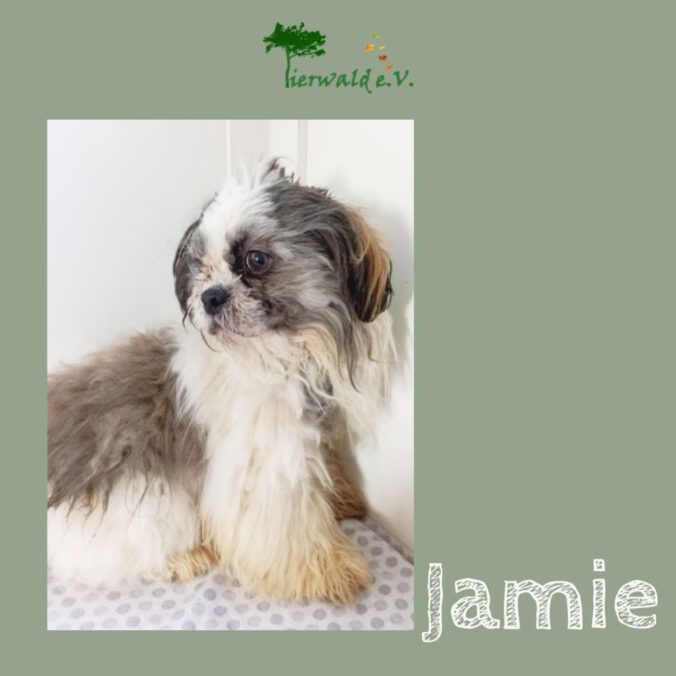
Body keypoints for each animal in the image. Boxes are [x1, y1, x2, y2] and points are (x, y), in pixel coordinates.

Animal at [47, 159, 395, 604]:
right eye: (202, 268)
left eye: (256, 259)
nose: (210, 295)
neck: (282, 356)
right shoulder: (265, 464)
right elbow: (290, 528)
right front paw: (330, 570)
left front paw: (342, 500)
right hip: (146, 502)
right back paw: (184, 558)